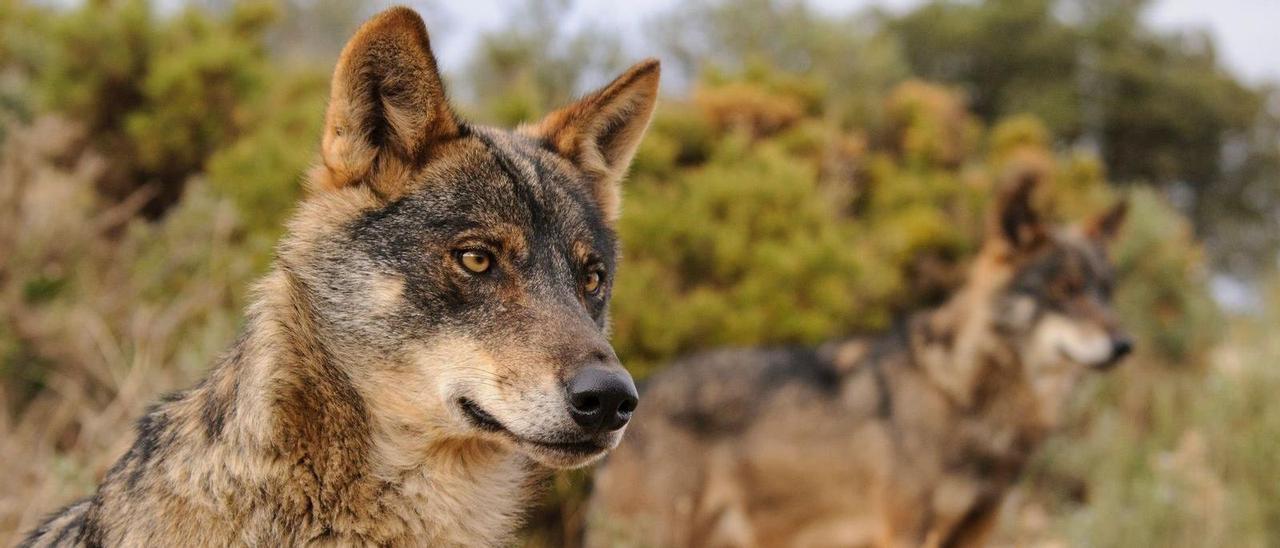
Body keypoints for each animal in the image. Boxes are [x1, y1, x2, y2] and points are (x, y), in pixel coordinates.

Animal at [586, 176, 1131, 548]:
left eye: (1105, 291)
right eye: (1064, 291)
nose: (1125, 344)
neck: (960, 391)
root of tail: (637, 393)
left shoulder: (976, 530)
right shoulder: (906, 530)